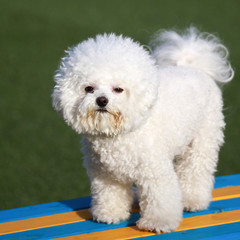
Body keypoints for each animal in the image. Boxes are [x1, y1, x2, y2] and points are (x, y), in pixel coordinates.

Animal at [51, 27, 233, 232]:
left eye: (118, 89)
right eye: (89, 88)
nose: (102, 100)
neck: (118, 135)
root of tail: (193, 68)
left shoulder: (155, 171)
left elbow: (160, 198)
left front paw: (157, 223)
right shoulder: (105, 175)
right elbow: (110, 194)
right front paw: (110, 214)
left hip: (203, 139)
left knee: (196, 168)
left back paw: (193, 200)